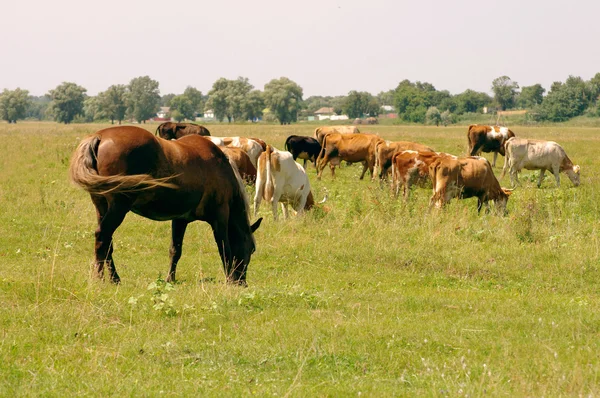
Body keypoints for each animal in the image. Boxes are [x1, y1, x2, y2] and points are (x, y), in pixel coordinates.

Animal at [69, 126, 262, 284]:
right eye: (251, 249)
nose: (242, 282)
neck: (221, 167)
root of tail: (99, 136)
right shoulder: (220, 216)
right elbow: (224, 248)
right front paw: (230, 278)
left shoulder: (180, 219)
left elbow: (175, 250)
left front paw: (170, 279)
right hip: (118, 207)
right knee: (102, 237)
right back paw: (101, 279)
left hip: (102, 206)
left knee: (107, 242)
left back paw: (114, 278)